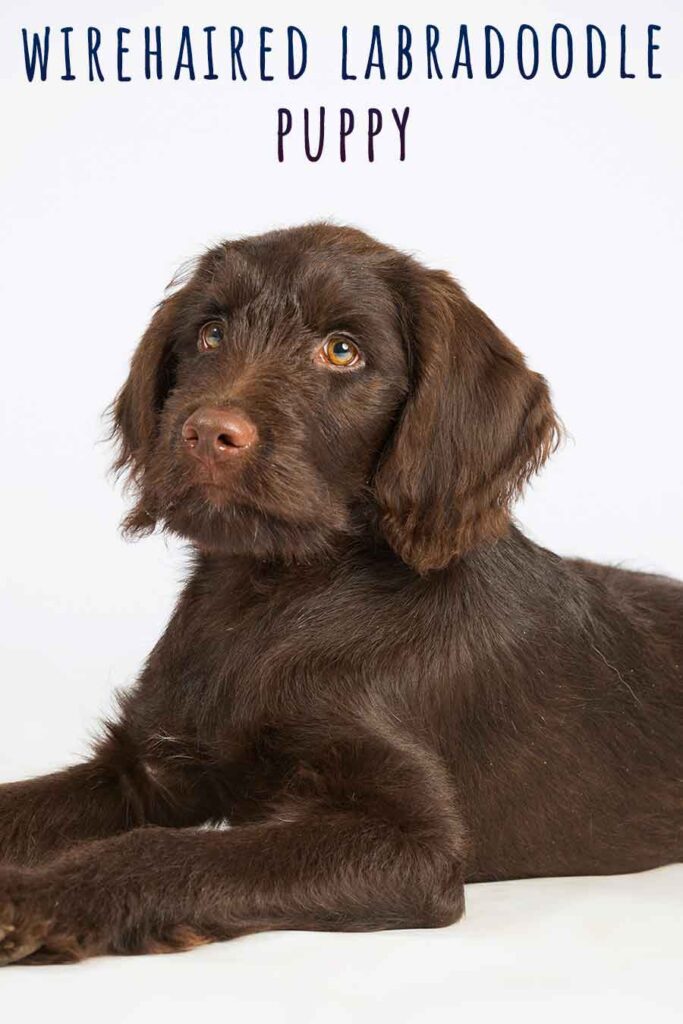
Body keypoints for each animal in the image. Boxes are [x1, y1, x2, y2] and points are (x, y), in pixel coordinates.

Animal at [0, 226, 679, 966]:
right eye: (211, 333)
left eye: (342, 350)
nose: (206, 433)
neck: (272, 598)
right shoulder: (145, 765)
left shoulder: (415, 846)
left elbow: (170, 851)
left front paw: (37, 897)